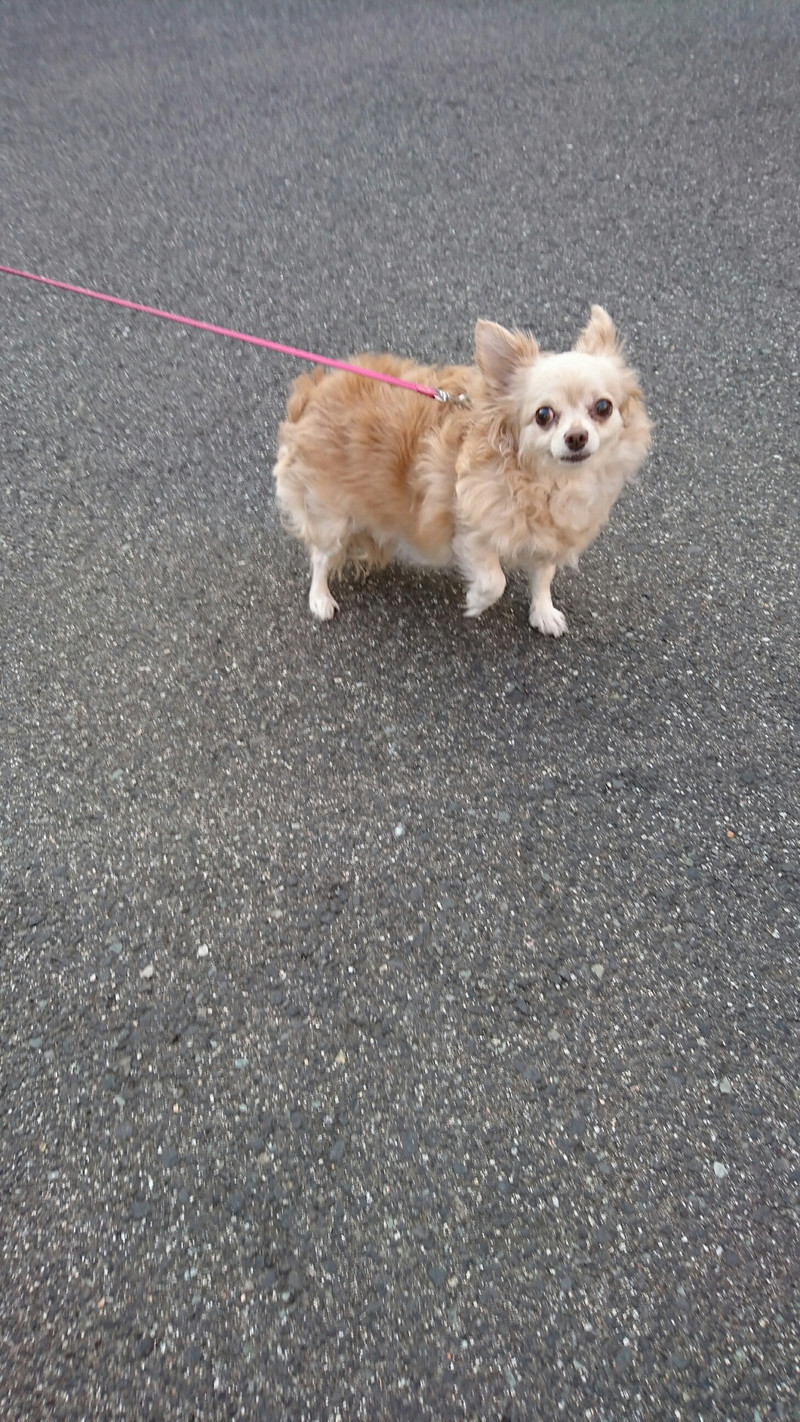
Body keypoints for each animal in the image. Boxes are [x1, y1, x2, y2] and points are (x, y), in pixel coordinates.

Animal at [273, 307, 651, 634]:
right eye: (544, 415)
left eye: (602, 408)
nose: (576, 436)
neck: (547, 483)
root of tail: (313, 390)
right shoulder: (469, 533)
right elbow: (495, 581)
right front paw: (476, 601)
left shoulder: (549, 537)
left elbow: (543, 575)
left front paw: (543, 612)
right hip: (331, 513)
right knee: (320, 557)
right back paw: (320, 599)